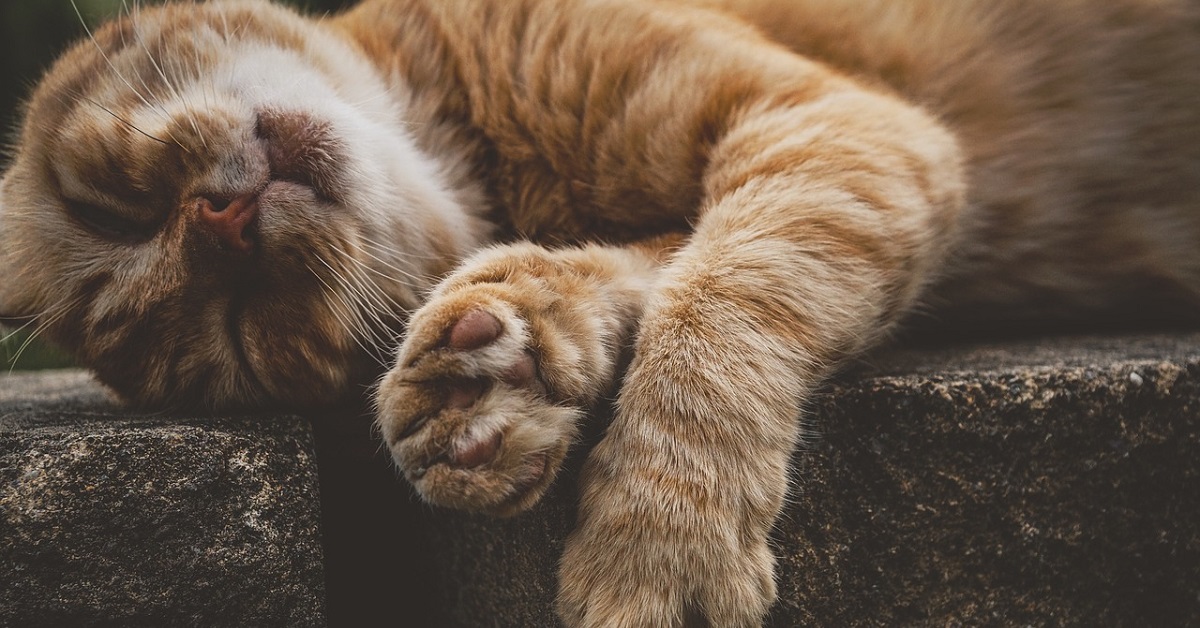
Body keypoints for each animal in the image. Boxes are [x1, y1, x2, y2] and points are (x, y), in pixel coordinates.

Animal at [2, 0, 1200, 624]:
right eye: (240, 333)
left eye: (108, 202)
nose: (221, 226)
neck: (481, 151)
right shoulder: (818, 150)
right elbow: (650, 275)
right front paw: (485, 376)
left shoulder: (837, 127)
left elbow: (718, 309)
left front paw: (659, 548)